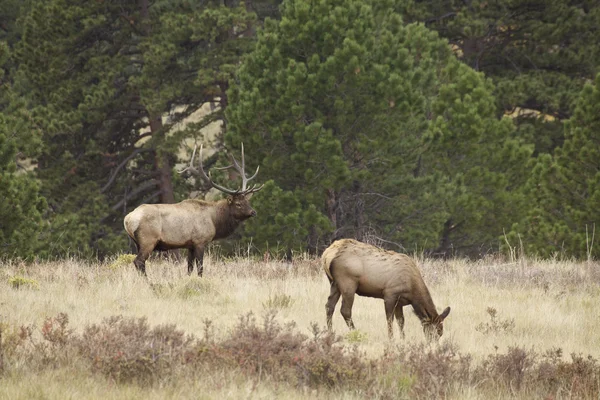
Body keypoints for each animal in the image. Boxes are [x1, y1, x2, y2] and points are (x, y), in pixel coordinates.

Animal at [123, 145, 262, 278]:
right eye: (238, 204)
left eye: (247, 201)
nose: (253, 212)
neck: (214, 220)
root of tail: (127, 219)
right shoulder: (200, 241)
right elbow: (200, 268)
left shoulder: (190, 245)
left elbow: (189, 268)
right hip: (148, 240)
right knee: (139, 261)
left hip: (138, 243)